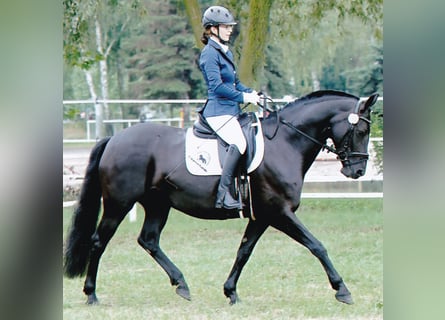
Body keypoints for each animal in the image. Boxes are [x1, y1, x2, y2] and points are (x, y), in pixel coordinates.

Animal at [63, 89, 378, 304]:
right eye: (362, 129)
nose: (358, 170)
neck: (285, 144)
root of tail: (113, 139)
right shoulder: (280, 212)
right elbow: (317, 246)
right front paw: (342, 290)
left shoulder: (262, 216)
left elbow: (244, 251)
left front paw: (231, 291)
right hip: (118, 204)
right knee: (99, 242)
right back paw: (91, 294)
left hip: (157, 205)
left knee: (148, 240)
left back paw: (182, 284)